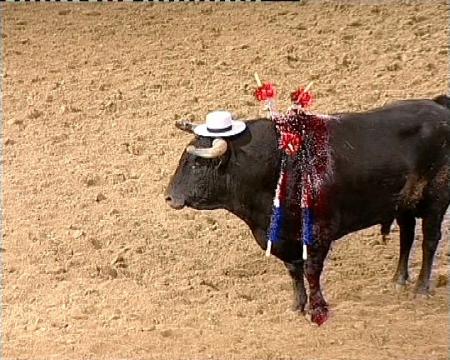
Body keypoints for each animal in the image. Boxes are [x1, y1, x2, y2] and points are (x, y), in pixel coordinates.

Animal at [165, 96, 450, 326]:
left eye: (198, 162)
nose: (169, 197)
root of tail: (439, 106)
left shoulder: (318, 233)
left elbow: (312, 270)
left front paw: (316, 309)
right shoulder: (284, 238)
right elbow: (294, 271)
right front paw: (297, 306)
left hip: (436, 201)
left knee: (429, 241)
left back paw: (421, 288)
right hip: (404, 205)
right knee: (407, 235)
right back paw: (398, 279)